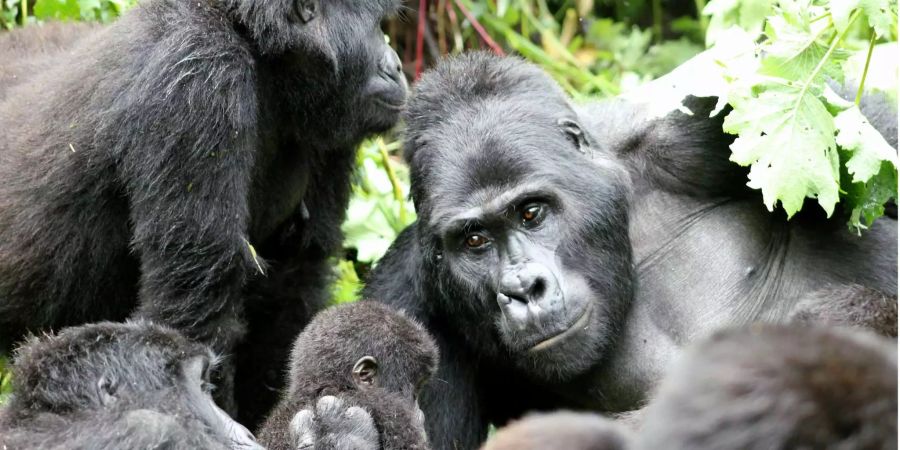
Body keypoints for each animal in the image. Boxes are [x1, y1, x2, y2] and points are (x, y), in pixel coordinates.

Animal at [0, 0, 406, 422]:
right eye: (375, 27)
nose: (397, 65)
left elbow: (294, 280)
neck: (253, 41)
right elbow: (195, 305)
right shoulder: (201, 76)